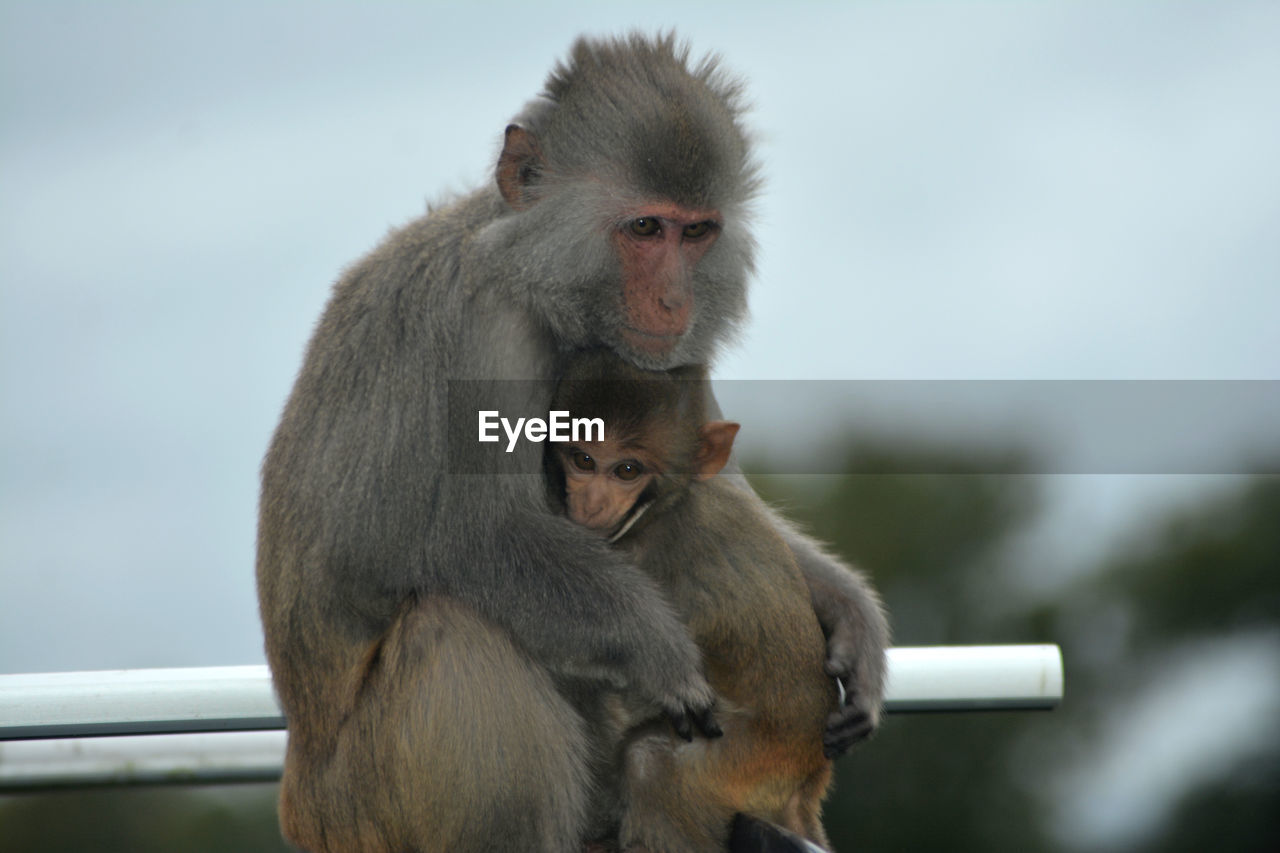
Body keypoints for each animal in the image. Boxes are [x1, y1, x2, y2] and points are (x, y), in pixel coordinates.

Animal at [550, 350, 839, 850]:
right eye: (583, 459)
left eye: (627, 470)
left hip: (748, 760)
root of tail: (807, 776)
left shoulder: (642, 556)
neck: (662, 509)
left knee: (650, 761)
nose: (590, 504)